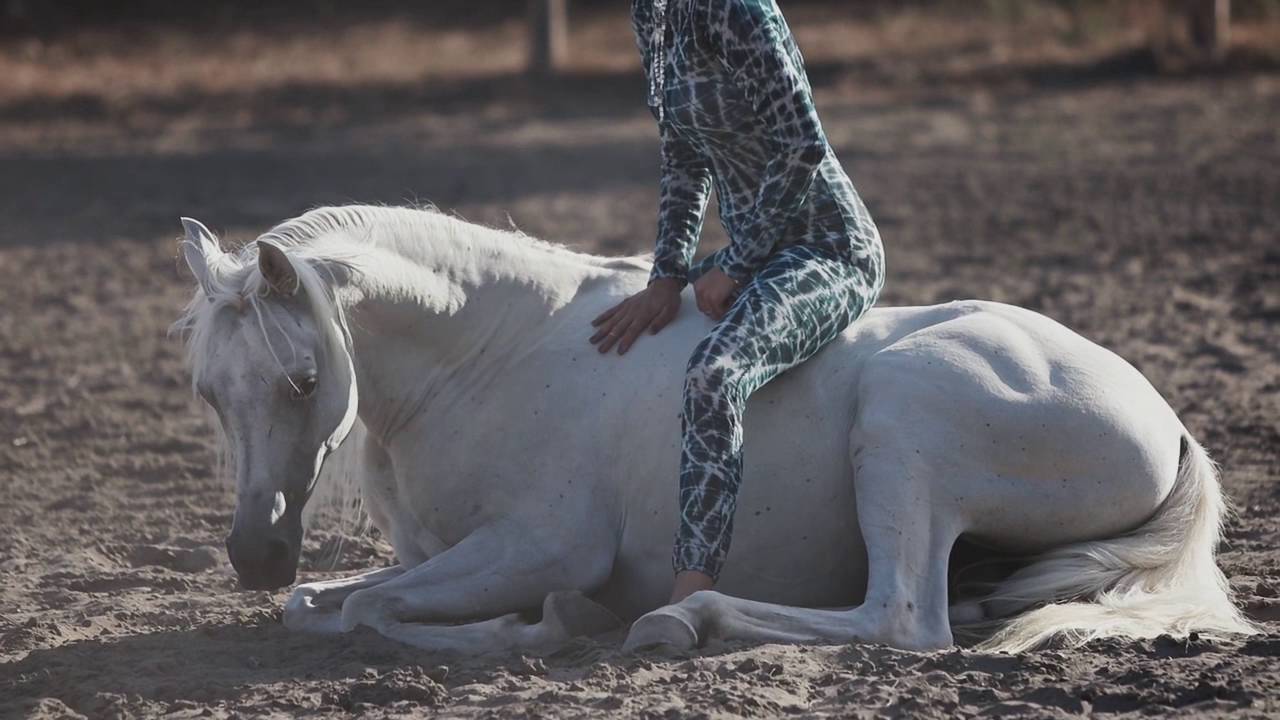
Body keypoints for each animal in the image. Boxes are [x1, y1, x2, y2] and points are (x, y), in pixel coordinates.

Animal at [174, 205, 1255, 655]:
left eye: (302, 379)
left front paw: (550, 623)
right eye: (208, 392)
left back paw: (679, 620)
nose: (254, 553)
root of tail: (1168, 426)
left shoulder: (539, 544)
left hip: (903, 417)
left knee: (900, 619)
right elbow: (322, 604)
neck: (492, 352)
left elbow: (364, 608)